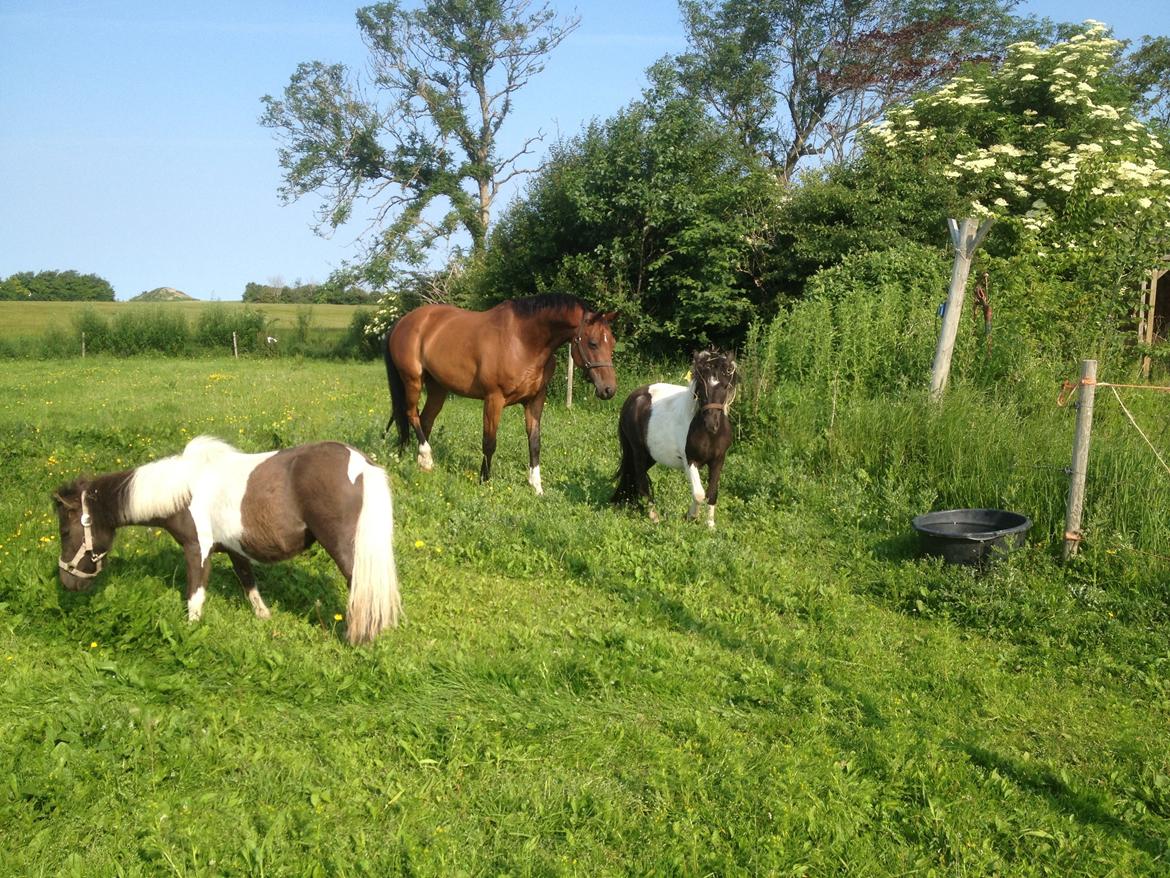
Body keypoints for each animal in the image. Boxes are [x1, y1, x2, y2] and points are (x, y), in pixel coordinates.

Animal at [52, 437, 401, 645]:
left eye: (66, 531)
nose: (67, 583)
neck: (183, 489)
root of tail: (361, 463)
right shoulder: (236, 549)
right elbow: (248, 583)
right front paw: (264, 617)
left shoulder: (197, 549)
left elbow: (195, 597)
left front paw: (191, 633)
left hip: (346, 549)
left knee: (361, 588)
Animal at [384, 293, 618, 494]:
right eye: (593, 343)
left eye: (612, 343)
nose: (609, 389)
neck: (522, 341)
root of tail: (403, 321)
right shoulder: (493, 399)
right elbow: (489, 442)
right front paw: (484, 480)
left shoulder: (535, 401)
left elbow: (535, 443)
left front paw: (536, 487)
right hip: (412, 381)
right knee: (410, 414)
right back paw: (426, 457)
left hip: (437, 388)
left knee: (425, 420)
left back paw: (419, 460)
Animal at [612, 348, 739, 528]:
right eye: (701, 386)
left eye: (726, 386)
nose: (711, 423)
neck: (708, 434)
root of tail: (633, 397)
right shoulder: (690, 460)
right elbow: (699, 493)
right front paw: (691, 516)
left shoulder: (718, 460)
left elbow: (711, 493)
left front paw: (710, 525)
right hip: (638, 451)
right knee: (641, 481)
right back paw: (654, 517)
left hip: (651, 455)